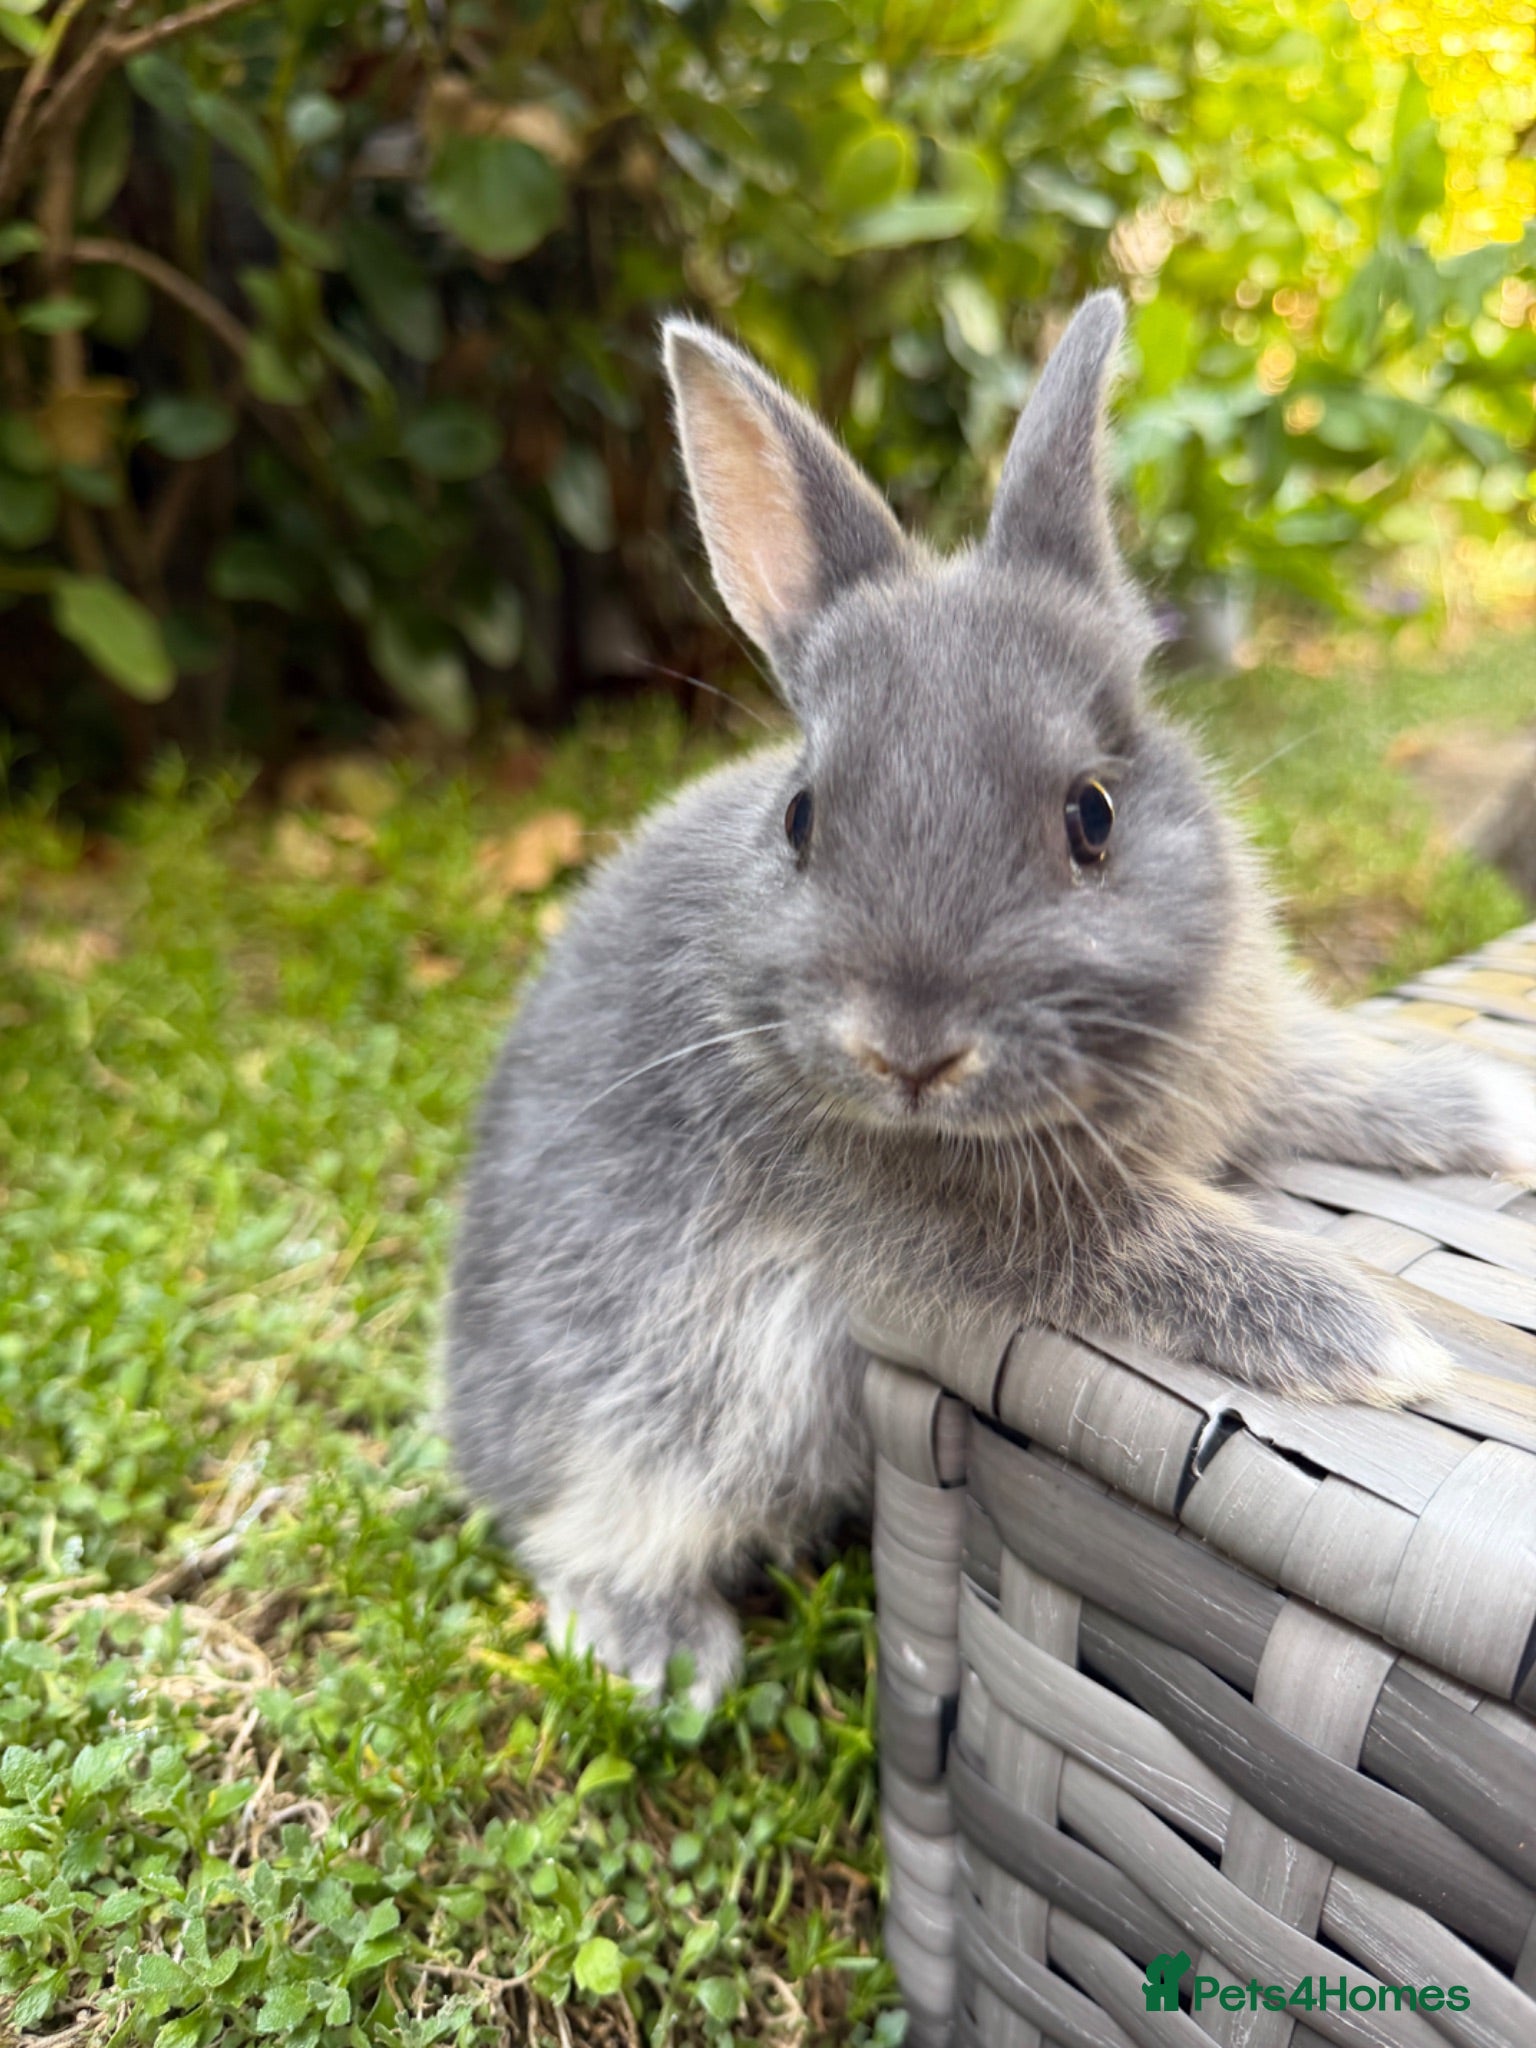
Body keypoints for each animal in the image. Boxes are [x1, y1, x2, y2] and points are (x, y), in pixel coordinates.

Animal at [446, 291, 1536, 1707]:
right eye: (801, 818)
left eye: (1094, 815)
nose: (906, 1051)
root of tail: (469, 1426)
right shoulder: (978, 1233)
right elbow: (1145, 1242)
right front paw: (1377, 1340)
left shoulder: (1244, 1051)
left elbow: (1334, 1072)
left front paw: (1496, 1113)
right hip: (662, 1408)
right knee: (592, 1521)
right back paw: (663, 1654)